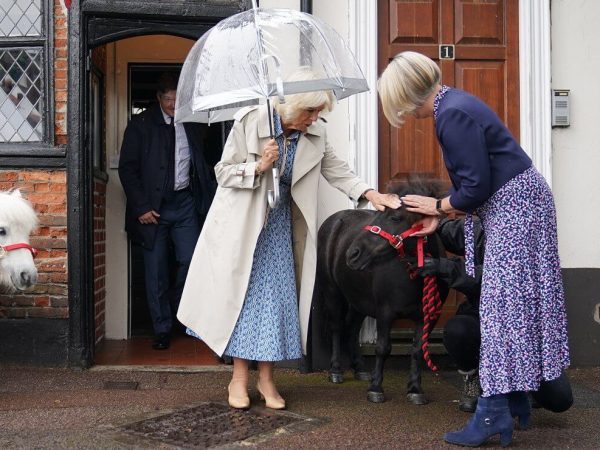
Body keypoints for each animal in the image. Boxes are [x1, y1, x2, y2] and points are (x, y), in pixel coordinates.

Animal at [312, 178, 448, 404]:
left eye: (395, 217)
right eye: (377, 214)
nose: (353, 254)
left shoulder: (428, 317)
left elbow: (418, 350)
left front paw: (415, 389)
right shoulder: (385, 313)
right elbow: (383, 348)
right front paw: (376, 388)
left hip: (358, 300)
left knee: (351, 327)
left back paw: (359, 368)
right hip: (332, 292)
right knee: (337, 327)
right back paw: (336, 371)